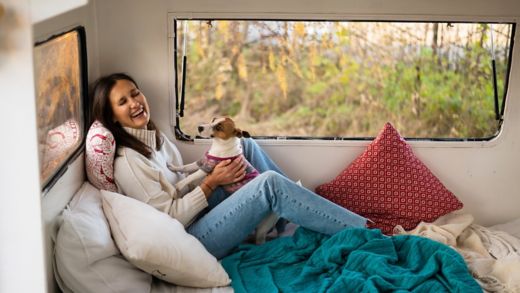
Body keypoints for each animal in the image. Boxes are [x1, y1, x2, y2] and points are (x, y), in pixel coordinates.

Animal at [167, 115, 280, 243]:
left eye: (218, 127)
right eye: (213, 120)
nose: (199, 127)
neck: (220, 145)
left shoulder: (207, 168)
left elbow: (191, 176)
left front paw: (179, 185)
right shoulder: (202, 162)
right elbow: (186, 167)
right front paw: (173, 167)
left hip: (262, 229)